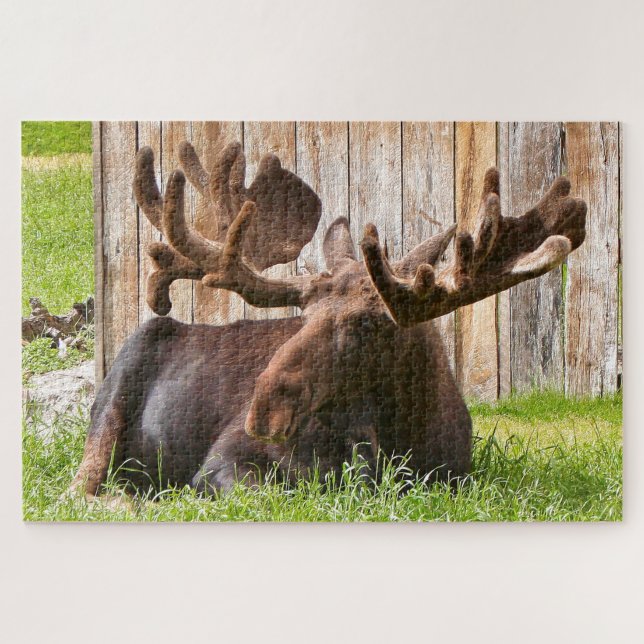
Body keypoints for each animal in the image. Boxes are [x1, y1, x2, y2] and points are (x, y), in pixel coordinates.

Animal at [68, 138, 587, 499]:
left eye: (367, 325)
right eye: (303, 316)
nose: (262, 409)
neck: (401, 439)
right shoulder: (220, 462)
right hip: (107, 413)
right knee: (83, 492)